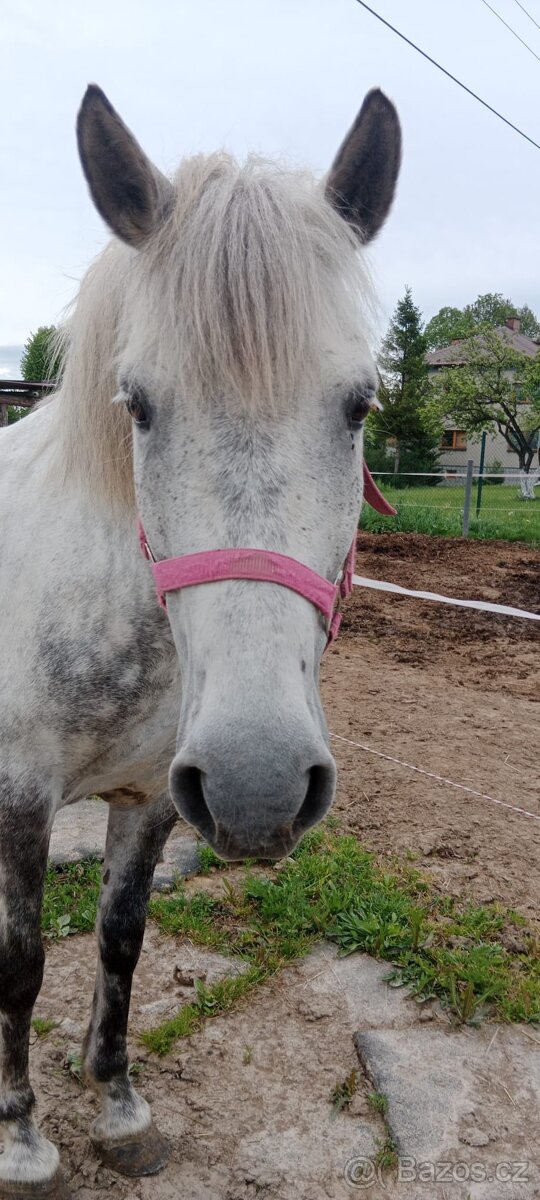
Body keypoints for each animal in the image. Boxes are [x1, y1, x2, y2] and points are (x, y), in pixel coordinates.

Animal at [0, 84, 401, 1197]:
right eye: (137, 404)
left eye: (360, 403)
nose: (260, 783)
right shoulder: (19, 795)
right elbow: (22, 963)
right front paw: (20, 1135)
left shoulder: (152, 798)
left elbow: (121, 940)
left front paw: (119, 1105)